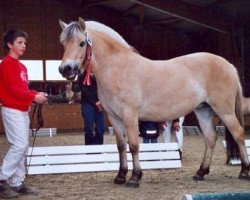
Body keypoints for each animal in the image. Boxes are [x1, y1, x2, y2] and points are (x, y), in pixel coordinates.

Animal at [57, 17, 249, 188]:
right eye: (64, 43)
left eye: (82, 43)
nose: (65, 69)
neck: (119, 68)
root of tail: (229, 65)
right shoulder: (114, 118)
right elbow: (121, 146)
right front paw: (120, 176)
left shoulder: (130, 115)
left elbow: (134, 145)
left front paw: (135, 178)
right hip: (204, 110)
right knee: (210, 138)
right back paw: (200, 173)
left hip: (224, 110)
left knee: (239, 134)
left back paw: (244, 172)